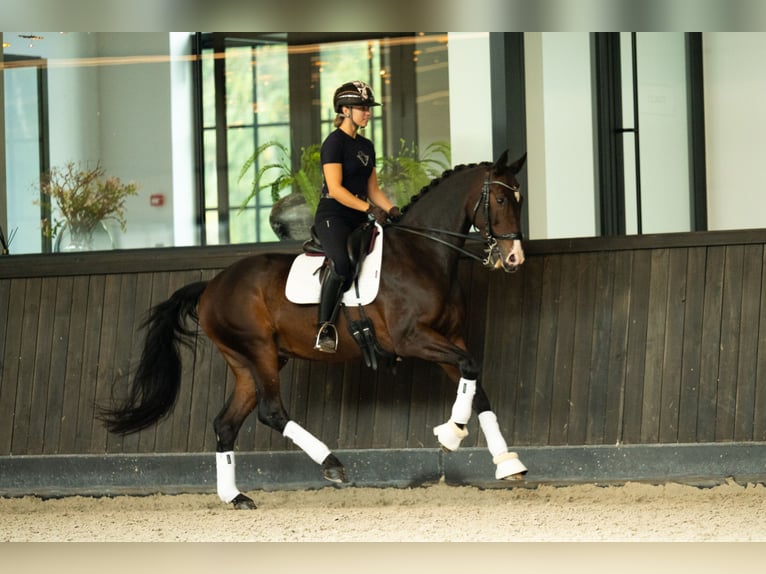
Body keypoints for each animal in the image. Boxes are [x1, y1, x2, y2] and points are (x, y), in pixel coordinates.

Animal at [101, 150, 528, 509]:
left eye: (520, 200)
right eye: (501, 200)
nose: (514, 258)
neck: (422, 255)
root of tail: (211, 286)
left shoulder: (447, 339)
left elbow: (476, 385)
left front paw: (506, 462)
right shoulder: (414, 339)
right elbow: (471, 370)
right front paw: (451, 432)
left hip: (249, 362)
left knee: (226, 423)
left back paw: (235, 497)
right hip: (259, 352)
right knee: (271, 412)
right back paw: (332, 463)